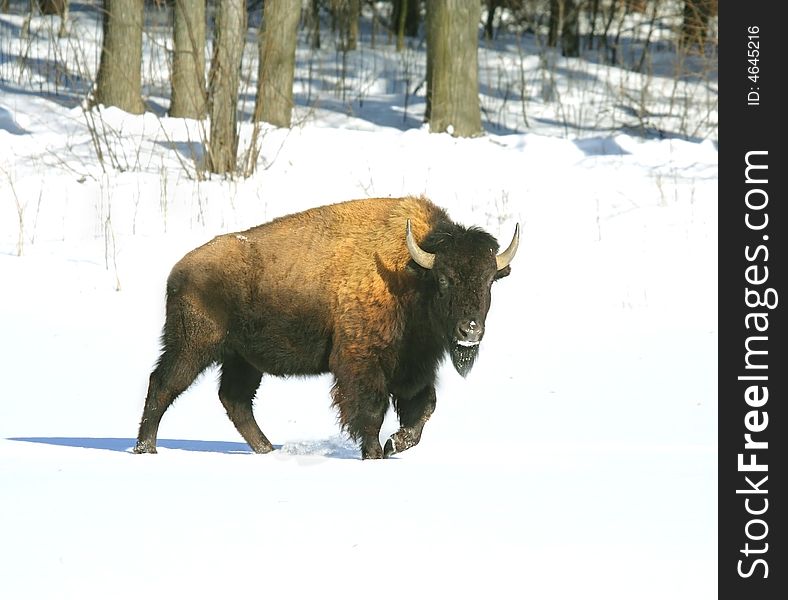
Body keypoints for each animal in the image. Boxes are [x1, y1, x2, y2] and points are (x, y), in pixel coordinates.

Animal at [134, 197, 516, 460]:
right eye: (444, 279)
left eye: (488, 281)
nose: (470, 331)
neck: (409, 273)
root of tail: (179, 270)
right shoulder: (361, 364)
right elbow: (371, 411)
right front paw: (375, 453)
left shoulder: (415, 367)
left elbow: (424, 408)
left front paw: (395, 444)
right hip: (193, 346)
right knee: (163, 385)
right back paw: (146, 449)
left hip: (243, 359)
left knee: (235, 400)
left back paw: (267, 450)